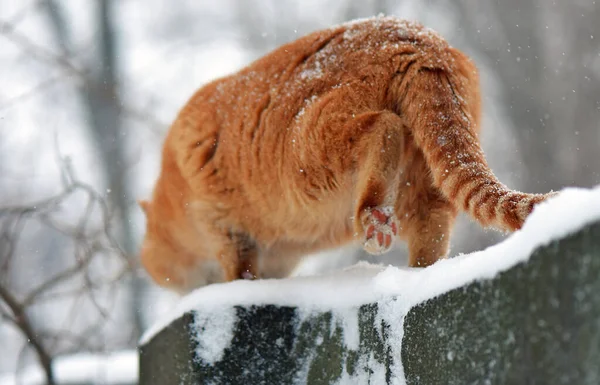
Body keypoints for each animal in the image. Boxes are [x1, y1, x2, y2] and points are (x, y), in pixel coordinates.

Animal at [138, 14, 556, 292]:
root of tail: (415, 37)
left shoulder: (224, 228)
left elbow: (239, 272)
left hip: (309, 155)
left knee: (384, 129)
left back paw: (372, 221)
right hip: (423, 182)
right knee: (432, 230)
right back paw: (416, 272)